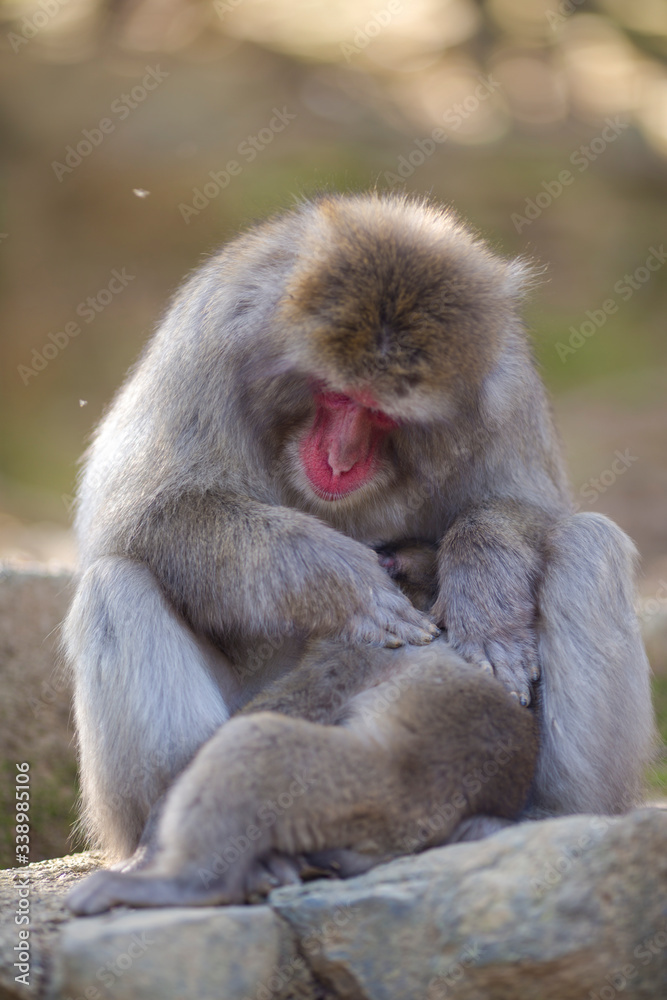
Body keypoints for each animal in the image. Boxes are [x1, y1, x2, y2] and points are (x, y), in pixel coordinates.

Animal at [63, 192, 657, 864]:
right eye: (335, 395)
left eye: (381, 413)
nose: (340, 460)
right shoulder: (209, 339)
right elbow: (135, 512)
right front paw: (342, 583)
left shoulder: (504, 387)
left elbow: (532, 507)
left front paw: (484, 584)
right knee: (114, 583)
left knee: (590, 544)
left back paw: (546, 815)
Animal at [67, 638, 539, 914]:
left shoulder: (352, 649)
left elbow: (297, 699)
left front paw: (147, 847)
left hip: (348, 790)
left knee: (256, 741)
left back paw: (185, 885)